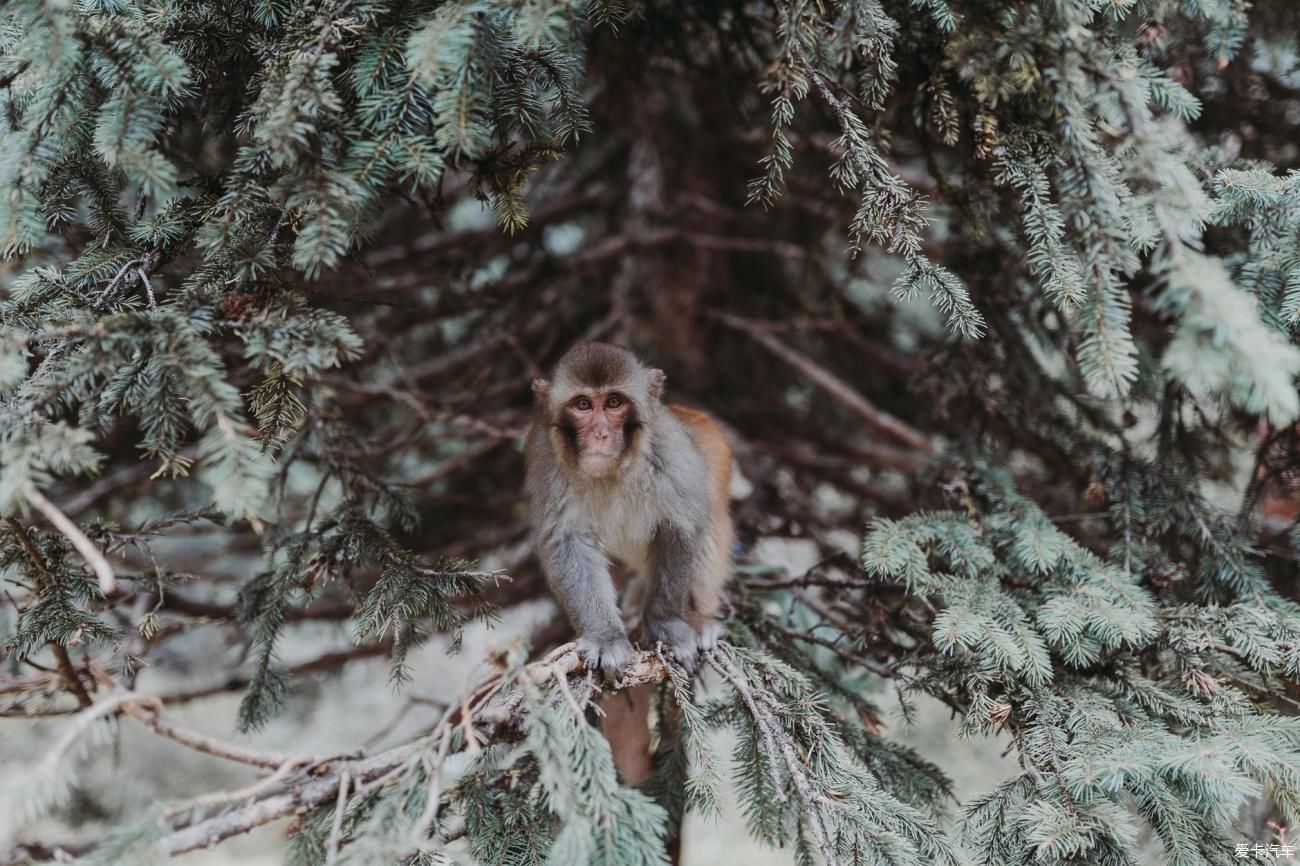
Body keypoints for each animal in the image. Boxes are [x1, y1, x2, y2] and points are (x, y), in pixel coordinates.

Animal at [525, 338, 733, 676]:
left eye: (614, 403)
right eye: (582, 405)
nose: (600, 434)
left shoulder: (670, 450)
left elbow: (682, 527)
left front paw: (665, 624)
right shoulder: (546, 458)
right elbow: (567, 541)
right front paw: (606, 638)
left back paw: (699, 619)